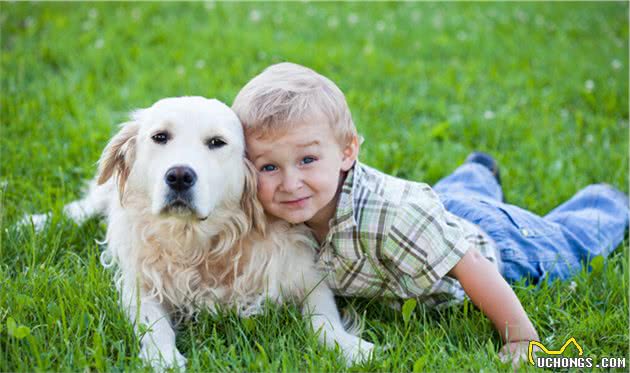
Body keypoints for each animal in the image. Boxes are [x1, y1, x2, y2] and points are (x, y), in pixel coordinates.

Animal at [24, 96, 376, 370]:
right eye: (160, 137)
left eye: (216, 142)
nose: (179, 176)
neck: (198, 243)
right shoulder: (139, 285)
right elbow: (154, 325)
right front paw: (163, 357)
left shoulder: (303, 273)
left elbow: (323, 317)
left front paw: (348, 346)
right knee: (82, 206)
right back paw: (35, 222)